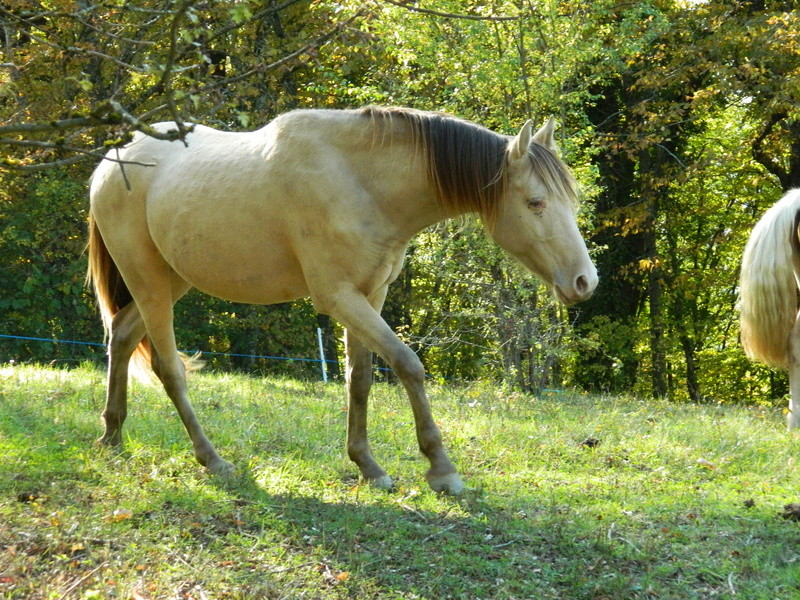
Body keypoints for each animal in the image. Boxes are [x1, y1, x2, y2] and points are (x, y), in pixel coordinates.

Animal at [89, 105, 592, 494]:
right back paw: (212, 460)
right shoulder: (339, 297)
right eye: (535, 202)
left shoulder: (371, 293)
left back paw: (111, 434)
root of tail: (113, 161)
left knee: (123, 335)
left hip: (170, 280)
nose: (585, 281)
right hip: (151, 282)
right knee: (169, 369)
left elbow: (360, 379)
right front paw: (441, 469)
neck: (359, 181)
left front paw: (368, 466)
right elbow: (408, 363)